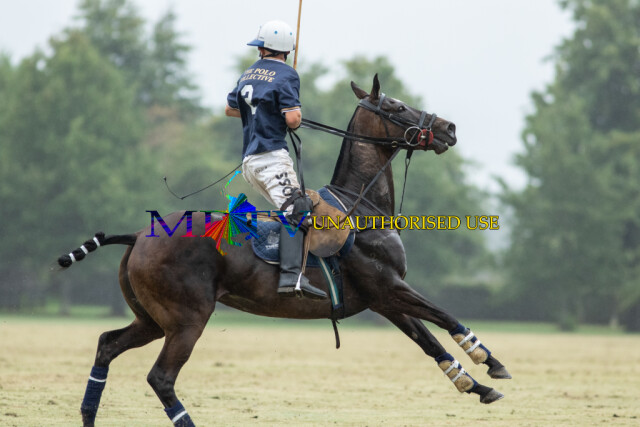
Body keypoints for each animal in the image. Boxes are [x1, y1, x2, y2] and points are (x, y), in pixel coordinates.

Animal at [59, 75, 511, 427]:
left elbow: (428, 341)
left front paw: (475, 384)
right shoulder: (388, 286)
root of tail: (138, 235)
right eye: (396, 105)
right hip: (187, 318)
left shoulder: (382, 298)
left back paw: (88, 415)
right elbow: (444, 315)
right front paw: (490, 362)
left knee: (107, 345)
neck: (361, 206)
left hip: (153, 319)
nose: (449, 128)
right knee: (161, 378)